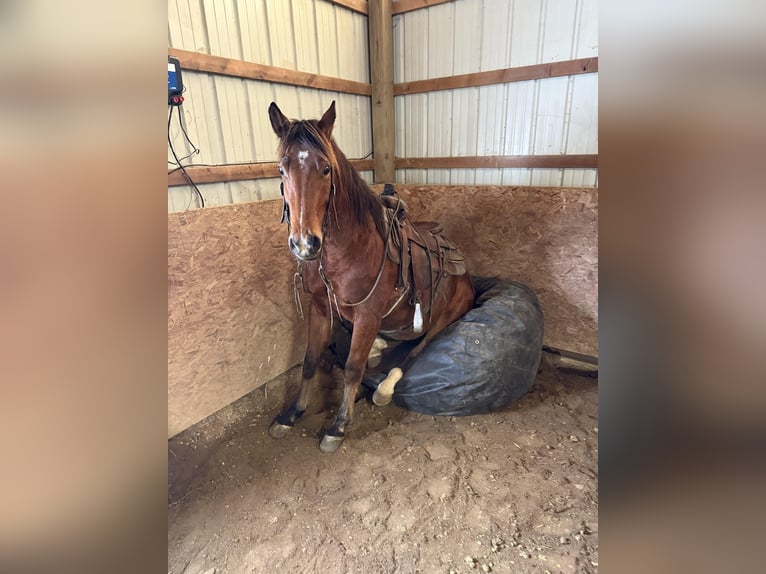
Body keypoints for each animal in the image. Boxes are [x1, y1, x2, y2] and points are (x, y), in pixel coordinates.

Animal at [267, 101, 475, 452]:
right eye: (282, 169)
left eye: (326, 169)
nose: (305, 243)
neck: (346, 252)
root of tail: (467, 277)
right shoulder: (320, 307)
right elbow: (310, 360)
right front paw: (291, 414)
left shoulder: (367, 313)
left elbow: (353, 367)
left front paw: (338, 426)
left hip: (442, 321)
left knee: (414, 353)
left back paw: (384, 388)